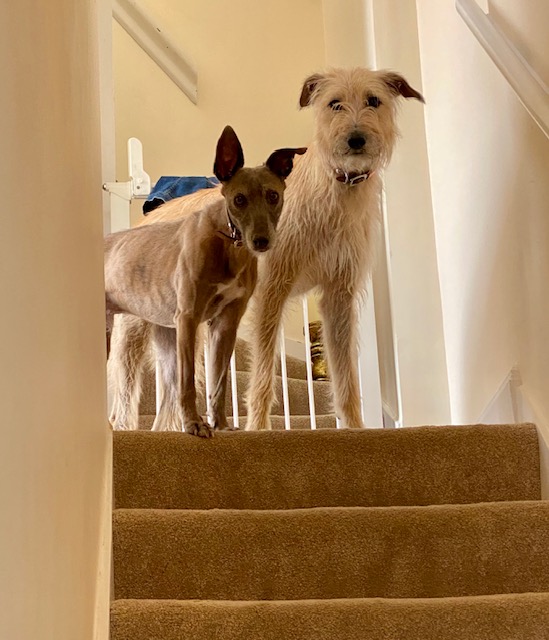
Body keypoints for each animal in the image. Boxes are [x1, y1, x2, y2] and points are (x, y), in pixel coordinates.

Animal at [105, 125, 305, 436]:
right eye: (238, 199)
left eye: (273, 195)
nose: (262, 242)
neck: (229, 245)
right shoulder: (188, 318)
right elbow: (189, 382)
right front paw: (194, 424)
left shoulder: (225, 324)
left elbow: (219, 381)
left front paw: (220, 424)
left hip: (164, 339)